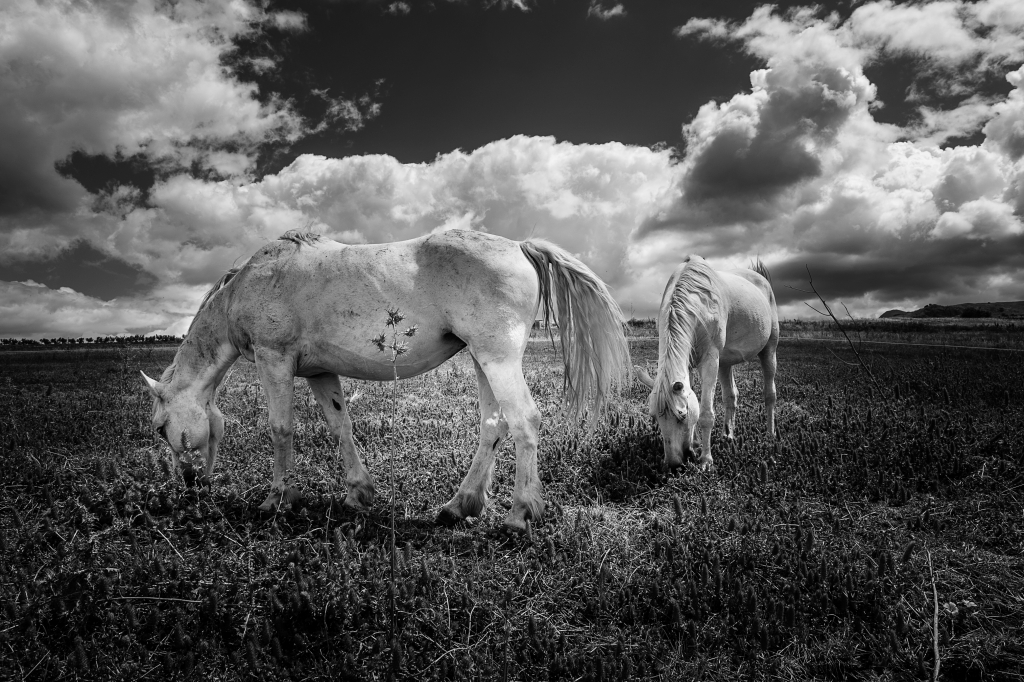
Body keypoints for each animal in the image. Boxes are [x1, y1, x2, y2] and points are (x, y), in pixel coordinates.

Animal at [140, 228, 630, 531]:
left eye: (161, 428)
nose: (191, 483)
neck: (247, 285)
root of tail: (518, 246)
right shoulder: (320, 372)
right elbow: (341, 426)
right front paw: (358, 493)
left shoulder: (272, 360)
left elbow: (281, 429)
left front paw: (277, 499)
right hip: (483, 360)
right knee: (494, 425)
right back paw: (459, 505)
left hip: (498, 358)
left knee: (525, 420)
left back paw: (519, 515)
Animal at [635, 255, 778, 470]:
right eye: (654, 417)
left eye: (682, 415)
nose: (674, 465)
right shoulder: (691, 364)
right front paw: (695, 445)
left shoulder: (710, 360)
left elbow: (706, 414)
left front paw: (706, 460)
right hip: (725, 363)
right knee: (731, 396)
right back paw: (728, 435)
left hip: (769, 350)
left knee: (769, 394)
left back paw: (770, 434)